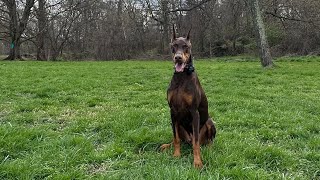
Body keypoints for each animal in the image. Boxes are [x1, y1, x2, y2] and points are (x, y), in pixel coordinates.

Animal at [161, 26, 216, 168]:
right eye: (174, 46)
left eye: (186, 46)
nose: (178, 58)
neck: (181, 77)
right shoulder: (172, 111)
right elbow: (175, 138)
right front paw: (176, 155)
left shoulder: (194, 111)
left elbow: (196, 144)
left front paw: (197, 162)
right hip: (178, 124)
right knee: (180, 138)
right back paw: (167, 145)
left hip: (209, 122)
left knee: (205, 141)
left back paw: (209, 148)